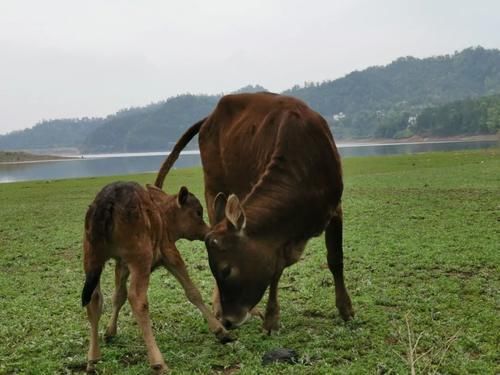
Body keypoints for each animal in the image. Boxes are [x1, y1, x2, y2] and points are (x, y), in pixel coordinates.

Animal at [81, 181, 231, 374]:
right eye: (198, 212)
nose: (206, 232)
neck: (162, 216)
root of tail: (108, 200)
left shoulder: (121, 264)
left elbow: (118, 296)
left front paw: (110, 331)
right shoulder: (170, 252)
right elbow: (192, 291)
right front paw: (220, 330)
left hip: (92, 259)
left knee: (94, 300)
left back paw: (92, 359)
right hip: (141, 260)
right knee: (138, 300)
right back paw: (158, 361)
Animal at [156, 93, 356, 334]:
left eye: (226, 270)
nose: (228, 321)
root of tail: (210, 118)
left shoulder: (334, 209)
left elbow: (335, 258)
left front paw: (346, 309)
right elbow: (275, 271)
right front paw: (271, 319)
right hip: (213, 187)